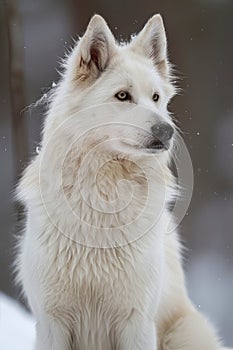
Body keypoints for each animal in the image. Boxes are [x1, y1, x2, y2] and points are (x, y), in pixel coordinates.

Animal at [15, 14, 223, 350]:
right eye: (123, 96)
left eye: (156, 98)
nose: (167, 131)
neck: (104, 194)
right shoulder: (52, 322)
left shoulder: (136, 321)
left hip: (184, 333)